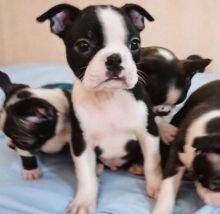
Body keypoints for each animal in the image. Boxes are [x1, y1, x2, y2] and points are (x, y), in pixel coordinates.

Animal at [37, 3, 162, 214]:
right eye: (83, 45)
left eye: (134, 44)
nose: (115, 58)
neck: (108, 97)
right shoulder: (81, 142)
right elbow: (84, 175)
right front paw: (84, 200)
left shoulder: (148, 134)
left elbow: (152, 163)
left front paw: (158, 187)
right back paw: (97, 168)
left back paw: (137, 166)